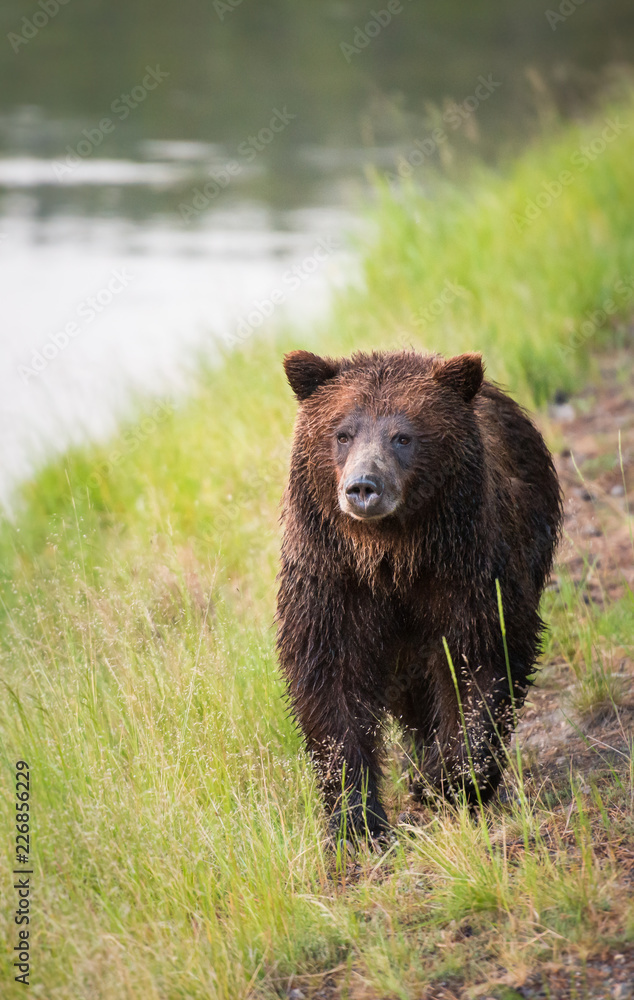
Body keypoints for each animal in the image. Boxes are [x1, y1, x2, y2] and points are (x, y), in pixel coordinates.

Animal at [274, 348, 560, 840]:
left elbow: (482, 657)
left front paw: (449, 779)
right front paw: (356, 821)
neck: (392, 556)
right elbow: (329, 683)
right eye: (342, 433)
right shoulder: (333, 581)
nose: (363, 487)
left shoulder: (468, 569)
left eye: (403, 436)